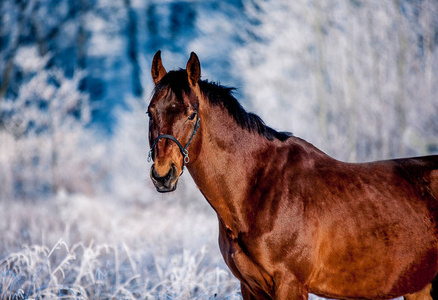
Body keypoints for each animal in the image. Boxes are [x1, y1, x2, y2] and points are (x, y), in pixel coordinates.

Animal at [146, 50, 438, 298]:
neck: (257, 189)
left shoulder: (290, 285)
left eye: (192, 114)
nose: (163, 174)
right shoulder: (250, 288)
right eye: (150, 112)